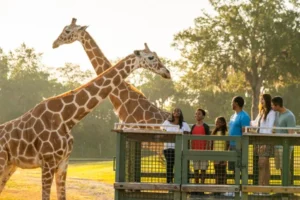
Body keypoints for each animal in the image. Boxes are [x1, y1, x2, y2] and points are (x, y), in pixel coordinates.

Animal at [0, 45, 170, 200]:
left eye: (156, 55)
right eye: (151, 57)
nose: (167, 72)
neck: (67, 118)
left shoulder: (63, 162)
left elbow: (62, 196)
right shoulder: (48, 161)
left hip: (10, 165)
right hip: (2, 161)